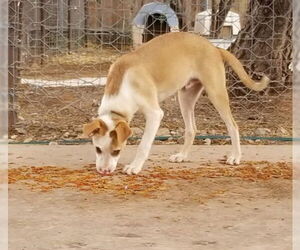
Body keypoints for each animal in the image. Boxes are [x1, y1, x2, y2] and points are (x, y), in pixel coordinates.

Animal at [82, 32, 270, 175]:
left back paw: (235, 156)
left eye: (117, 151)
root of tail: (214, 48)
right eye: (97, 149)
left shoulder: (155, 114)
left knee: (233, 125)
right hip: (185, 97)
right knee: (191, 129)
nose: (104, 171)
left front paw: (134, 167)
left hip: (216, 93)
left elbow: (143, 145)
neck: (123, 83)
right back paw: (182, 156)